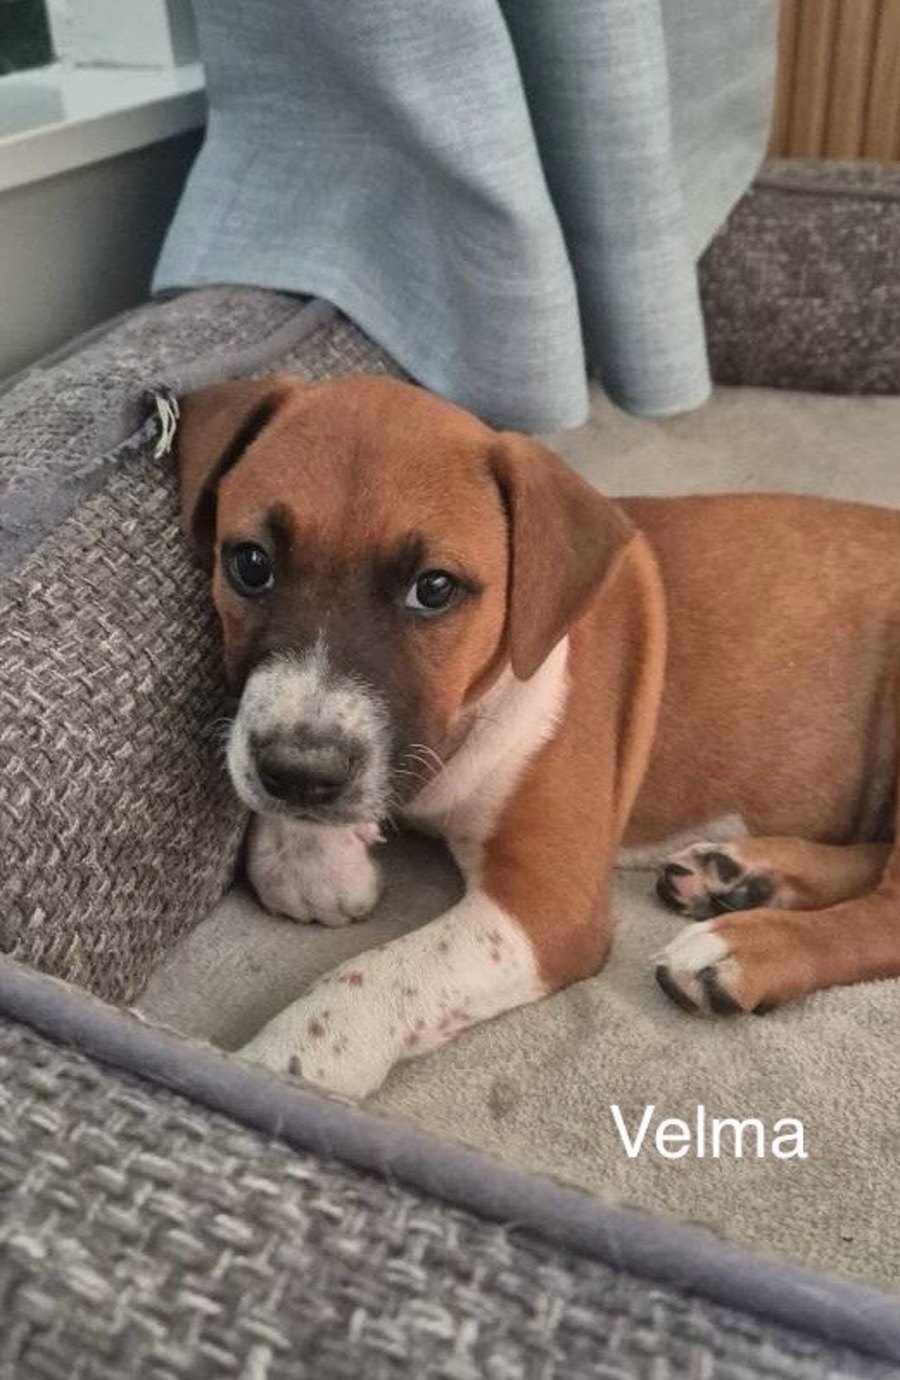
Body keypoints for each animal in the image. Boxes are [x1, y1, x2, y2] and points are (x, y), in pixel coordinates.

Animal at [177, 374, 900, 1098]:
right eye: (250, 564)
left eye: (433, 589)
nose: (300, 773)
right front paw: (311, 857)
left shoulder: (546, 905)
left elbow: (378, 976)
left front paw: (286, 1064)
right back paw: (739, 875)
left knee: (886, 912)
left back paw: (743, 950)